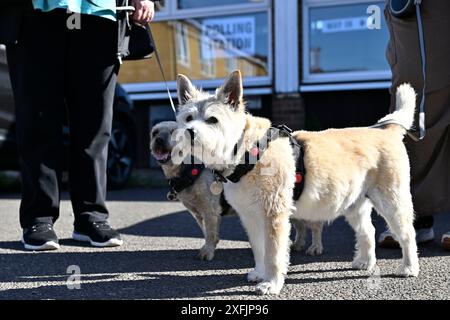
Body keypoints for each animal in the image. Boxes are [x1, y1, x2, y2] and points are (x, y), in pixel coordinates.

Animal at [175, 70, 418, 296]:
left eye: (212, 120)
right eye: (188, 118)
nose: (189, 132)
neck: (247, 150)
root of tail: (387, 131)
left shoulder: (274, 215)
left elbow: (274, 254)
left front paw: (272, 283)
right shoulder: (250, 217)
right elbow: (259, 249)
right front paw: (260, 273)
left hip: (392, 201)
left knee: (407, 233)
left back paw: (409, 267)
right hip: (353, 204)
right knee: (368, 230)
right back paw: (365, 261)